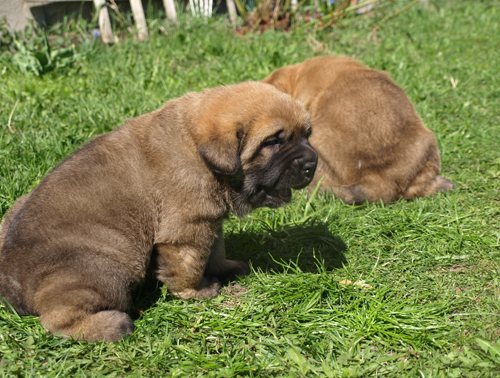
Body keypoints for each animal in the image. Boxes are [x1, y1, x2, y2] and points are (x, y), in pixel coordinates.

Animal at [0, 82, 318, 342]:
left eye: (307, 135)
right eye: (273, 141)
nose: (312, 164)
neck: (196, 148)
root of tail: (11, 282)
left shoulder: (208, 221)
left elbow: (215, 250)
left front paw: (225, 268)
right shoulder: (188, 228)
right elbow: (190, 265)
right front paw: (197, 291)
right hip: (106, 268)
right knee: (56, 318)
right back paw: (112, 326)